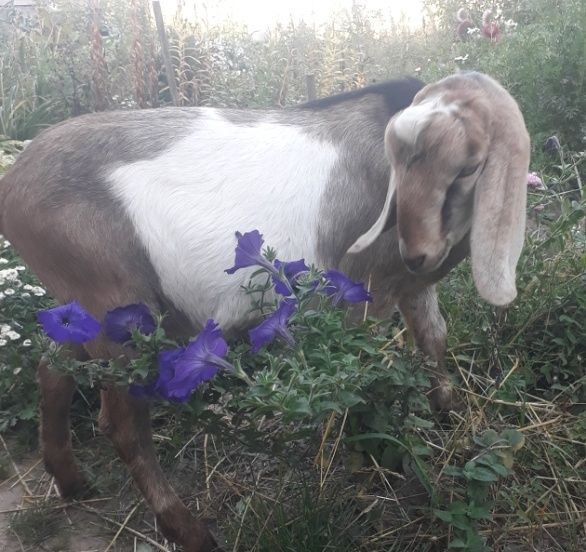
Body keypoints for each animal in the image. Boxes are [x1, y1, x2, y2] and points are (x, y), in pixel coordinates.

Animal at [0, 73, 528, 552]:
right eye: (409, 163)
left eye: (470, 166)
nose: (417, 249)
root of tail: (13, 184)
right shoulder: (356, 297)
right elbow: (360, 376)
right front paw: (366, 459)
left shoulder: (414, 288)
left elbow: (433, 339)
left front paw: (448, 418)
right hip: (117, 307)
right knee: (122, 424)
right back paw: (189, 532)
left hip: (82, 310)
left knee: (51, 368)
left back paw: (71, 480)